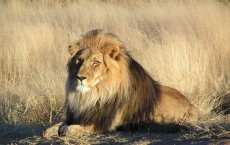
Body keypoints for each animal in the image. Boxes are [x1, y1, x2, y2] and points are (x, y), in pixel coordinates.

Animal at [44, 28, 198, 138]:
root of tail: (191, 106)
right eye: (79, 60)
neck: (93, 94)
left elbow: (69, 129)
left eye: (96, 62)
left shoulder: (102, 124)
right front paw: (51, 131)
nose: (80, 77)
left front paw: (65, 130)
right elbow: (53, 127)